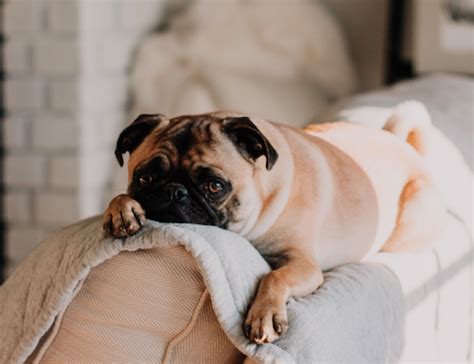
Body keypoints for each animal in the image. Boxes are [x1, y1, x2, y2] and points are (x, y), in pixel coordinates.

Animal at [103, 101, 444, 346]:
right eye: (145, 178)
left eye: (215, 186)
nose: (175, 191)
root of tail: (403, 144)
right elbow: (119, 196)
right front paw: (121, 209)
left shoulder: (304, 265)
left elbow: (274, 277)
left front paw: (264, 315)